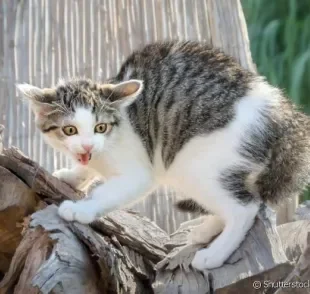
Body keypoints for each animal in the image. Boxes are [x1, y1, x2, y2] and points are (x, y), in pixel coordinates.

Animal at [16, 41, 310, 272]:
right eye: (70, 130)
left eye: (101, 127)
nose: (87, 147)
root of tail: (281, 113)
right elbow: (87, 168)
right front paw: (73, 174)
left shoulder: (140, 172)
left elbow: (106, 193)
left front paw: (81, 209)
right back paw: (206, 230)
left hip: (197, 162)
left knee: (245, 208)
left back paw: (214, 254)